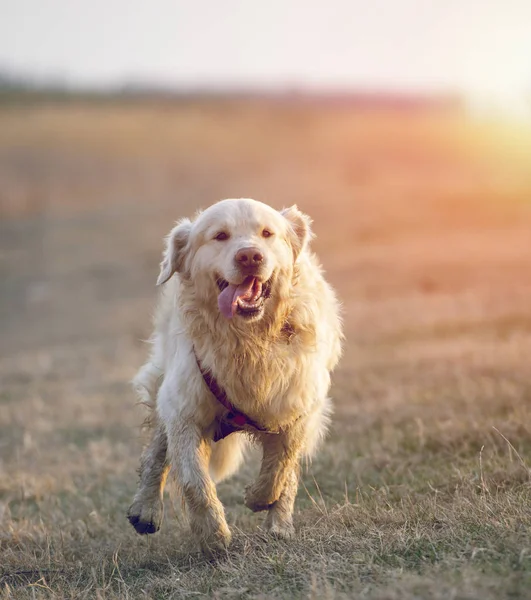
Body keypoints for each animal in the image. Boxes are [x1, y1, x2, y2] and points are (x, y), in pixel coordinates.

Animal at [127, 199, 342, 552]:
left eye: (267, 233)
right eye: (220, 236)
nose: (250, 256)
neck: (249, 338)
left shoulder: (300, 405)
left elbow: (281, 467)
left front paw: (259, 499)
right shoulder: (185, 409)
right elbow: (194, 481)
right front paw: (213, 535)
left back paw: (279, 525)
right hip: (166, 386)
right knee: (157, 448)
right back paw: (145, 509)